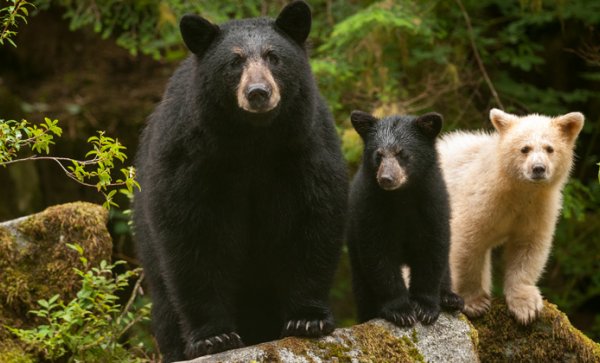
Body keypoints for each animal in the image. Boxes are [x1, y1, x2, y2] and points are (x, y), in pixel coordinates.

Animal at [131, 1, 346, 362]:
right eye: (234, 61)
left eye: (274, 56)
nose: (258, 93)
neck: (252, 140)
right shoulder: (191, 158)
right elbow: (193, 236)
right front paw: (213, 337)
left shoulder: (305, 147)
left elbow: (312, 220)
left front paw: (308, 319)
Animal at [346, 110, 464, 328]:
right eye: (378, 155)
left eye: (402, 153)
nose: (386, 178)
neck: (402, 197)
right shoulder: (371, 208)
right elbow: (379, 256)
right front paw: (401, 311)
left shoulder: (433, 205)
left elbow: (432, 251)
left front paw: (425, 307)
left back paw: (450, 298)